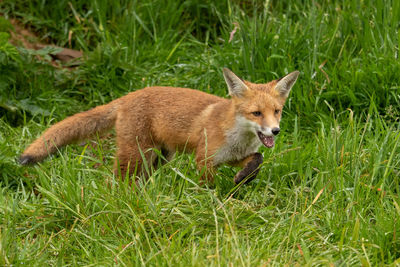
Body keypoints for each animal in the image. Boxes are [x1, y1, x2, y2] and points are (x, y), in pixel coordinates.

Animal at [19, 69, 300, 185]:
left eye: (276, 111)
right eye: (256, 113)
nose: (275, 131)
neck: (237, 136)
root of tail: (127, 96)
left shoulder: (232, 157)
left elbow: (257, 159)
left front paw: (243, 178)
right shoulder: (204, 160)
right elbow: (207, 186)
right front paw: (212, 202)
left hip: (158, 158)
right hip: (136, 155)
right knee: (116, 179)